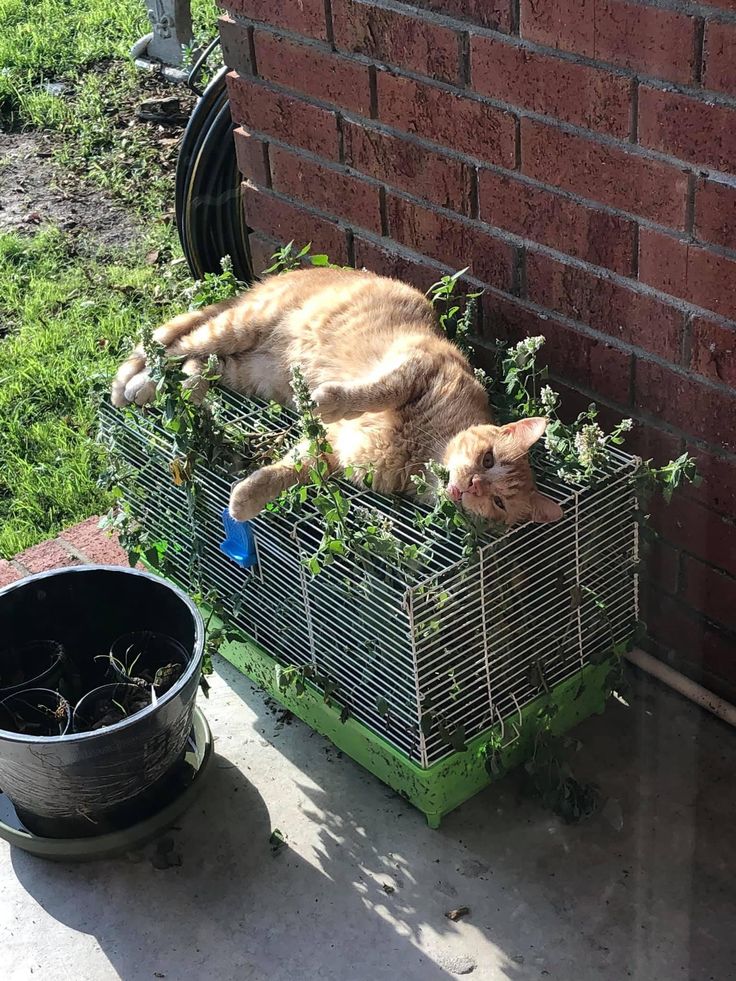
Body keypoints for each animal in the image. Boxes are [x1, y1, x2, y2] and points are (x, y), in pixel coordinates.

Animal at [109, 268, 560, 524]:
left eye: (498, 503)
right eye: (487, 459)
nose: (473, 488)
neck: (419, 455)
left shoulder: (333, 452)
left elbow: (288, 470)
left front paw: (246, 501)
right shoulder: (416, 368)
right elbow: (372, 393)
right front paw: (325, 401)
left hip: (247, 371)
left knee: (195, 364)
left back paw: (181, 388)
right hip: (241, 325)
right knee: (169, 344)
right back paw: (134, 383)